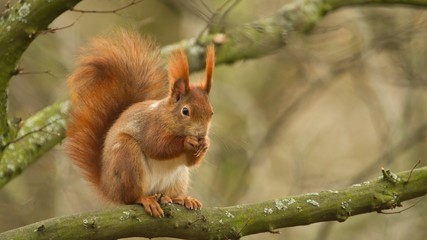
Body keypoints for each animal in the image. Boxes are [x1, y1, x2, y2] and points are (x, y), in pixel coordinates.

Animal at [67, 29, 216, 218]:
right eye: (185, 111)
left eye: (211, 112)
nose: (201, 134)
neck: (166, 116)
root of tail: (108, 187)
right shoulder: (151, 127)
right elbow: (157, 146)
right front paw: (187, 141)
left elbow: (191, 163)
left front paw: (205, 144)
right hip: (127, 158)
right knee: (130, 197)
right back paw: (146, 200)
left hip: (179, 178)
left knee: (170, 193)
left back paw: (182, 199)